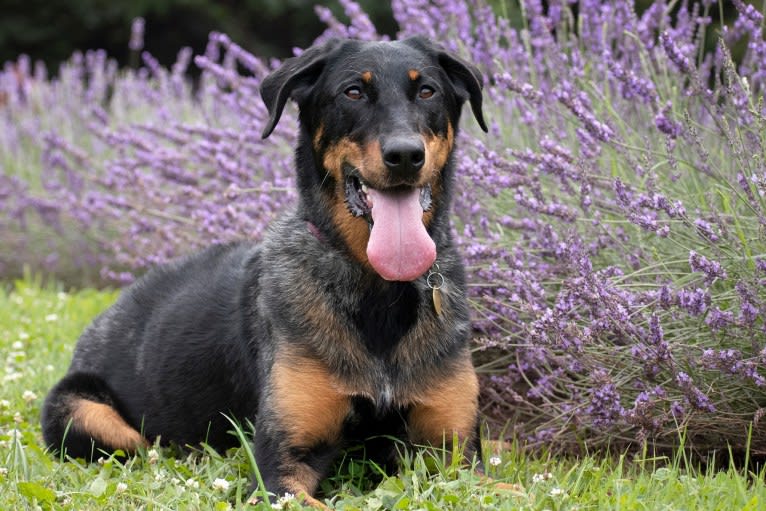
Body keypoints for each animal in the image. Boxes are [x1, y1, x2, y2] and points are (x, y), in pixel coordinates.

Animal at [42, 36, 488, 508]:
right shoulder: (280, 470)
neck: (379, 292)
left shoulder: (458, 457)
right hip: (82, 412)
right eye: (352, 92)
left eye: (427, 91)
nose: (404, 155)